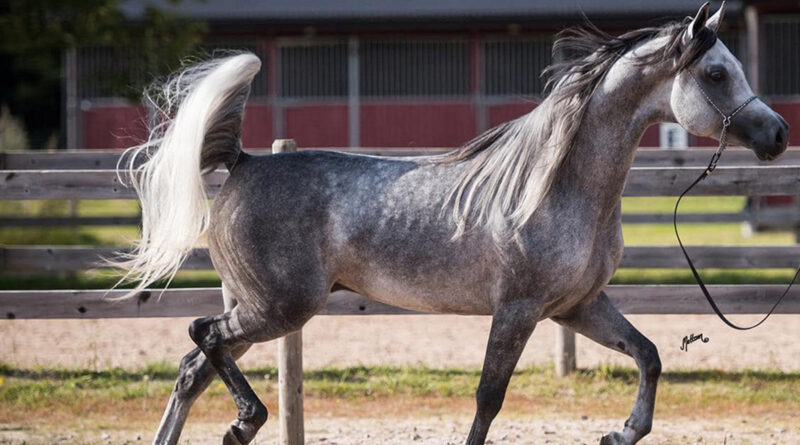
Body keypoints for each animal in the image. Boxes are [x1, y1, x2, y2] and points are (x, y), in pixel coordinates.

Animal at [112, 1, 788, 442]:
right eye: (717, 73)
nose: (778, 135)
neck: (554, 188)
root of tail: (243, 162)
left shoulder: (577, 306)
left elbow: (648, 355)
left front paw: (622, 433)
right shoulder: (517, 309)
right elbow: (489, 398)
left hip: (257, 306)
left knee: (191, 370)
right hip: (279, 307)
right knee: (201, 336)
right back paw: (246, 420)